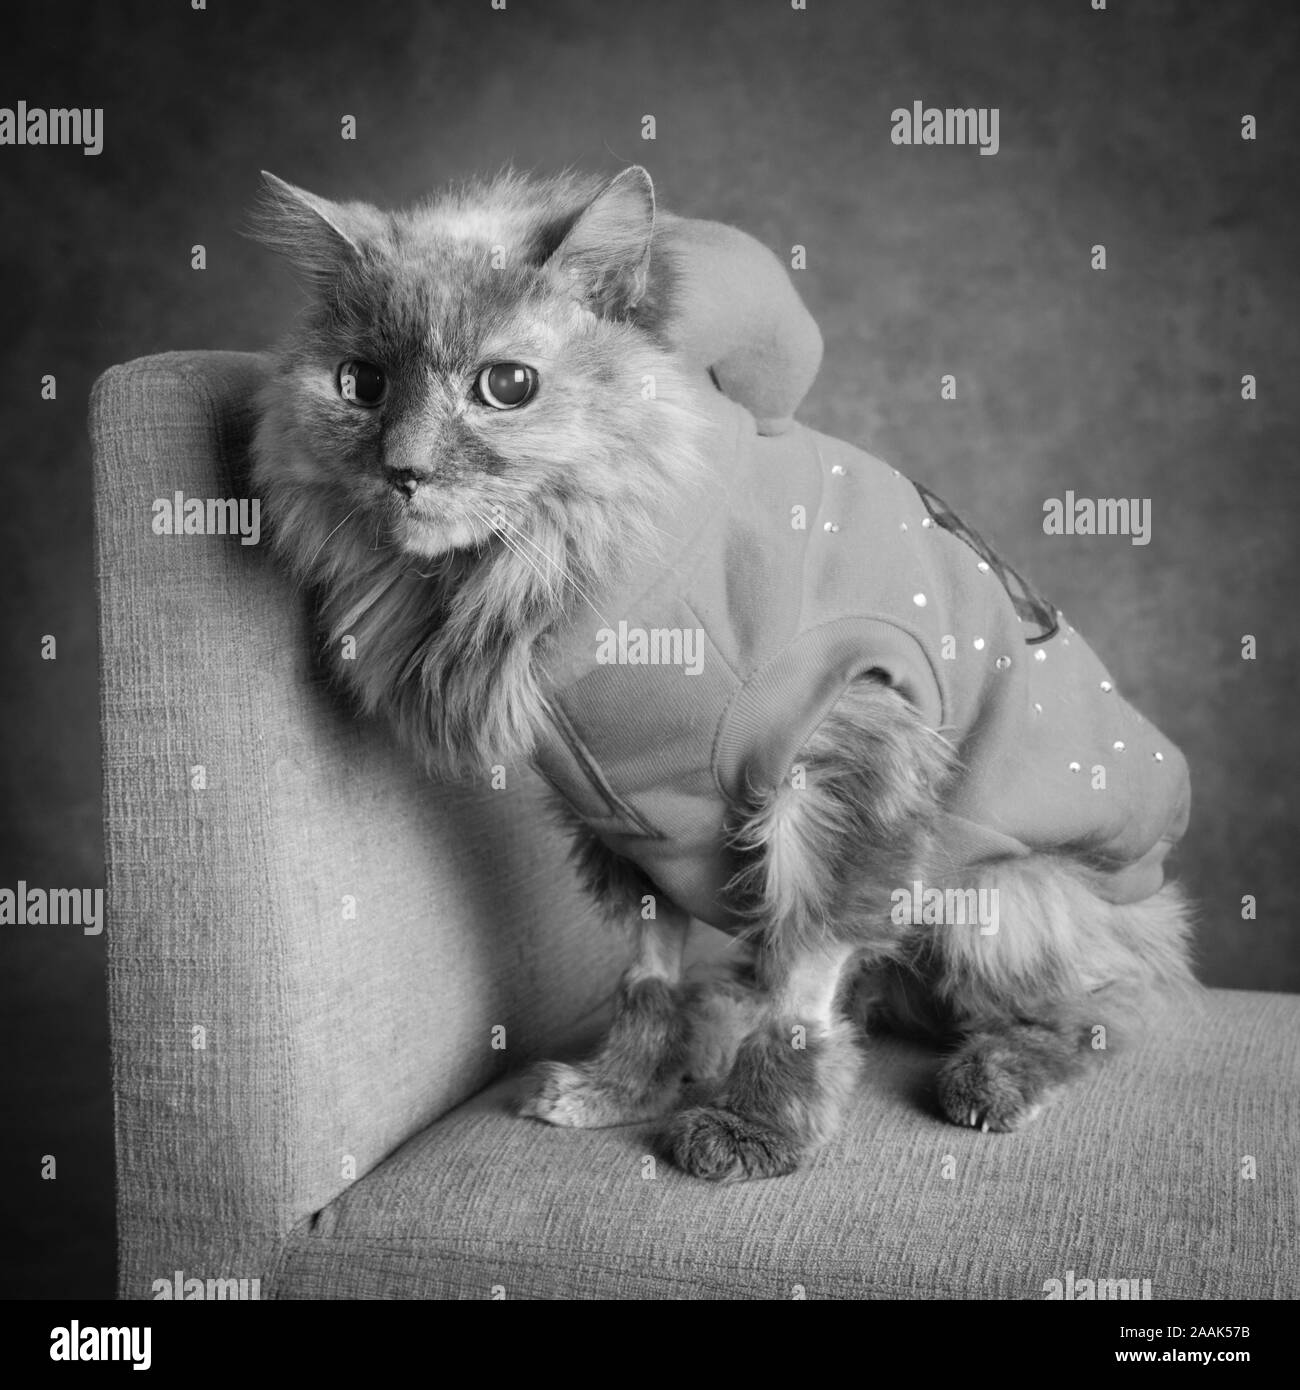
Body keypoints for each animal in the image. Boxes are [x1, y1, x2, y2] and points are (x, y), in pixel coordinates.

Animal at [248, 165, 1195, 1184]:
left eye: (506, 385)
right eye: (361, 383)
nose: (404, 470)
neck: (545, 574)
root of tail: (1152, 898)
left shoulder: (837, 778)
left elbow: (805, 990)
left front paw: (758, 1128)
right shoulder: (632, 824)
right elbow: (651, 977)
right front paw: (624, 1087)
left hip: (994, 900)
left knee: (1101, 1009)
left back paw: (994, 1074)